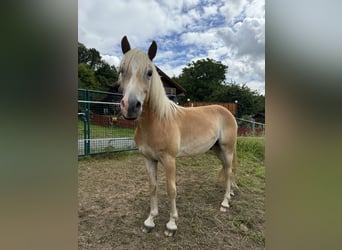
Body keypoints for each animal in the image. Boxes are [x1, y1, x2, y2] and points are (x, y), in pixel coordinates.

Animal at [117, 36, 238, 237]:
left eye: (149, 73)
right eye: (121, 70)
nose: (131, 107)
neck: (158, 122)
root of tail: (227, 112)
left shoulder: (169, 160)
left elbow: (171, 189)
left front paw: (171, 224)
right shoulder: (148, 159)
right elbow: (152, 187)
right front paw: (150, 221)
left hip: (227, 149)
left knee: (228, 172)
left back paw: (225, 202)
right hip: (217, 150)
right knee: (228, 171)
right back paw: (231, 194)